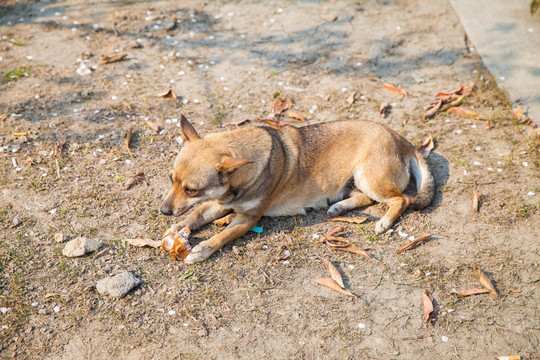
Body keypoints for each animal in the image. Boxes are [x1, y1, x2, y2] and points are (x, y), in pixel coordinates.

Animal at [161, 116, 434, 264]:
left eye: (191, 190)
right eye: (171, 179)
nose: (163, 211)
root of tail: (402, 140)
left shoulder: (248, 219)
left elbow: (222, 236)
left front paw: (201, 250)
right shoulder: (219, 202)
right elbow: (196, 215)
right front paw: (177, 228)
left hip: (369, 177)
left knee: (401, 199)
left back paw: (384, 221)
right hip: (358, 181)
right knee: (365, 198)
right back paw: (339, 206)